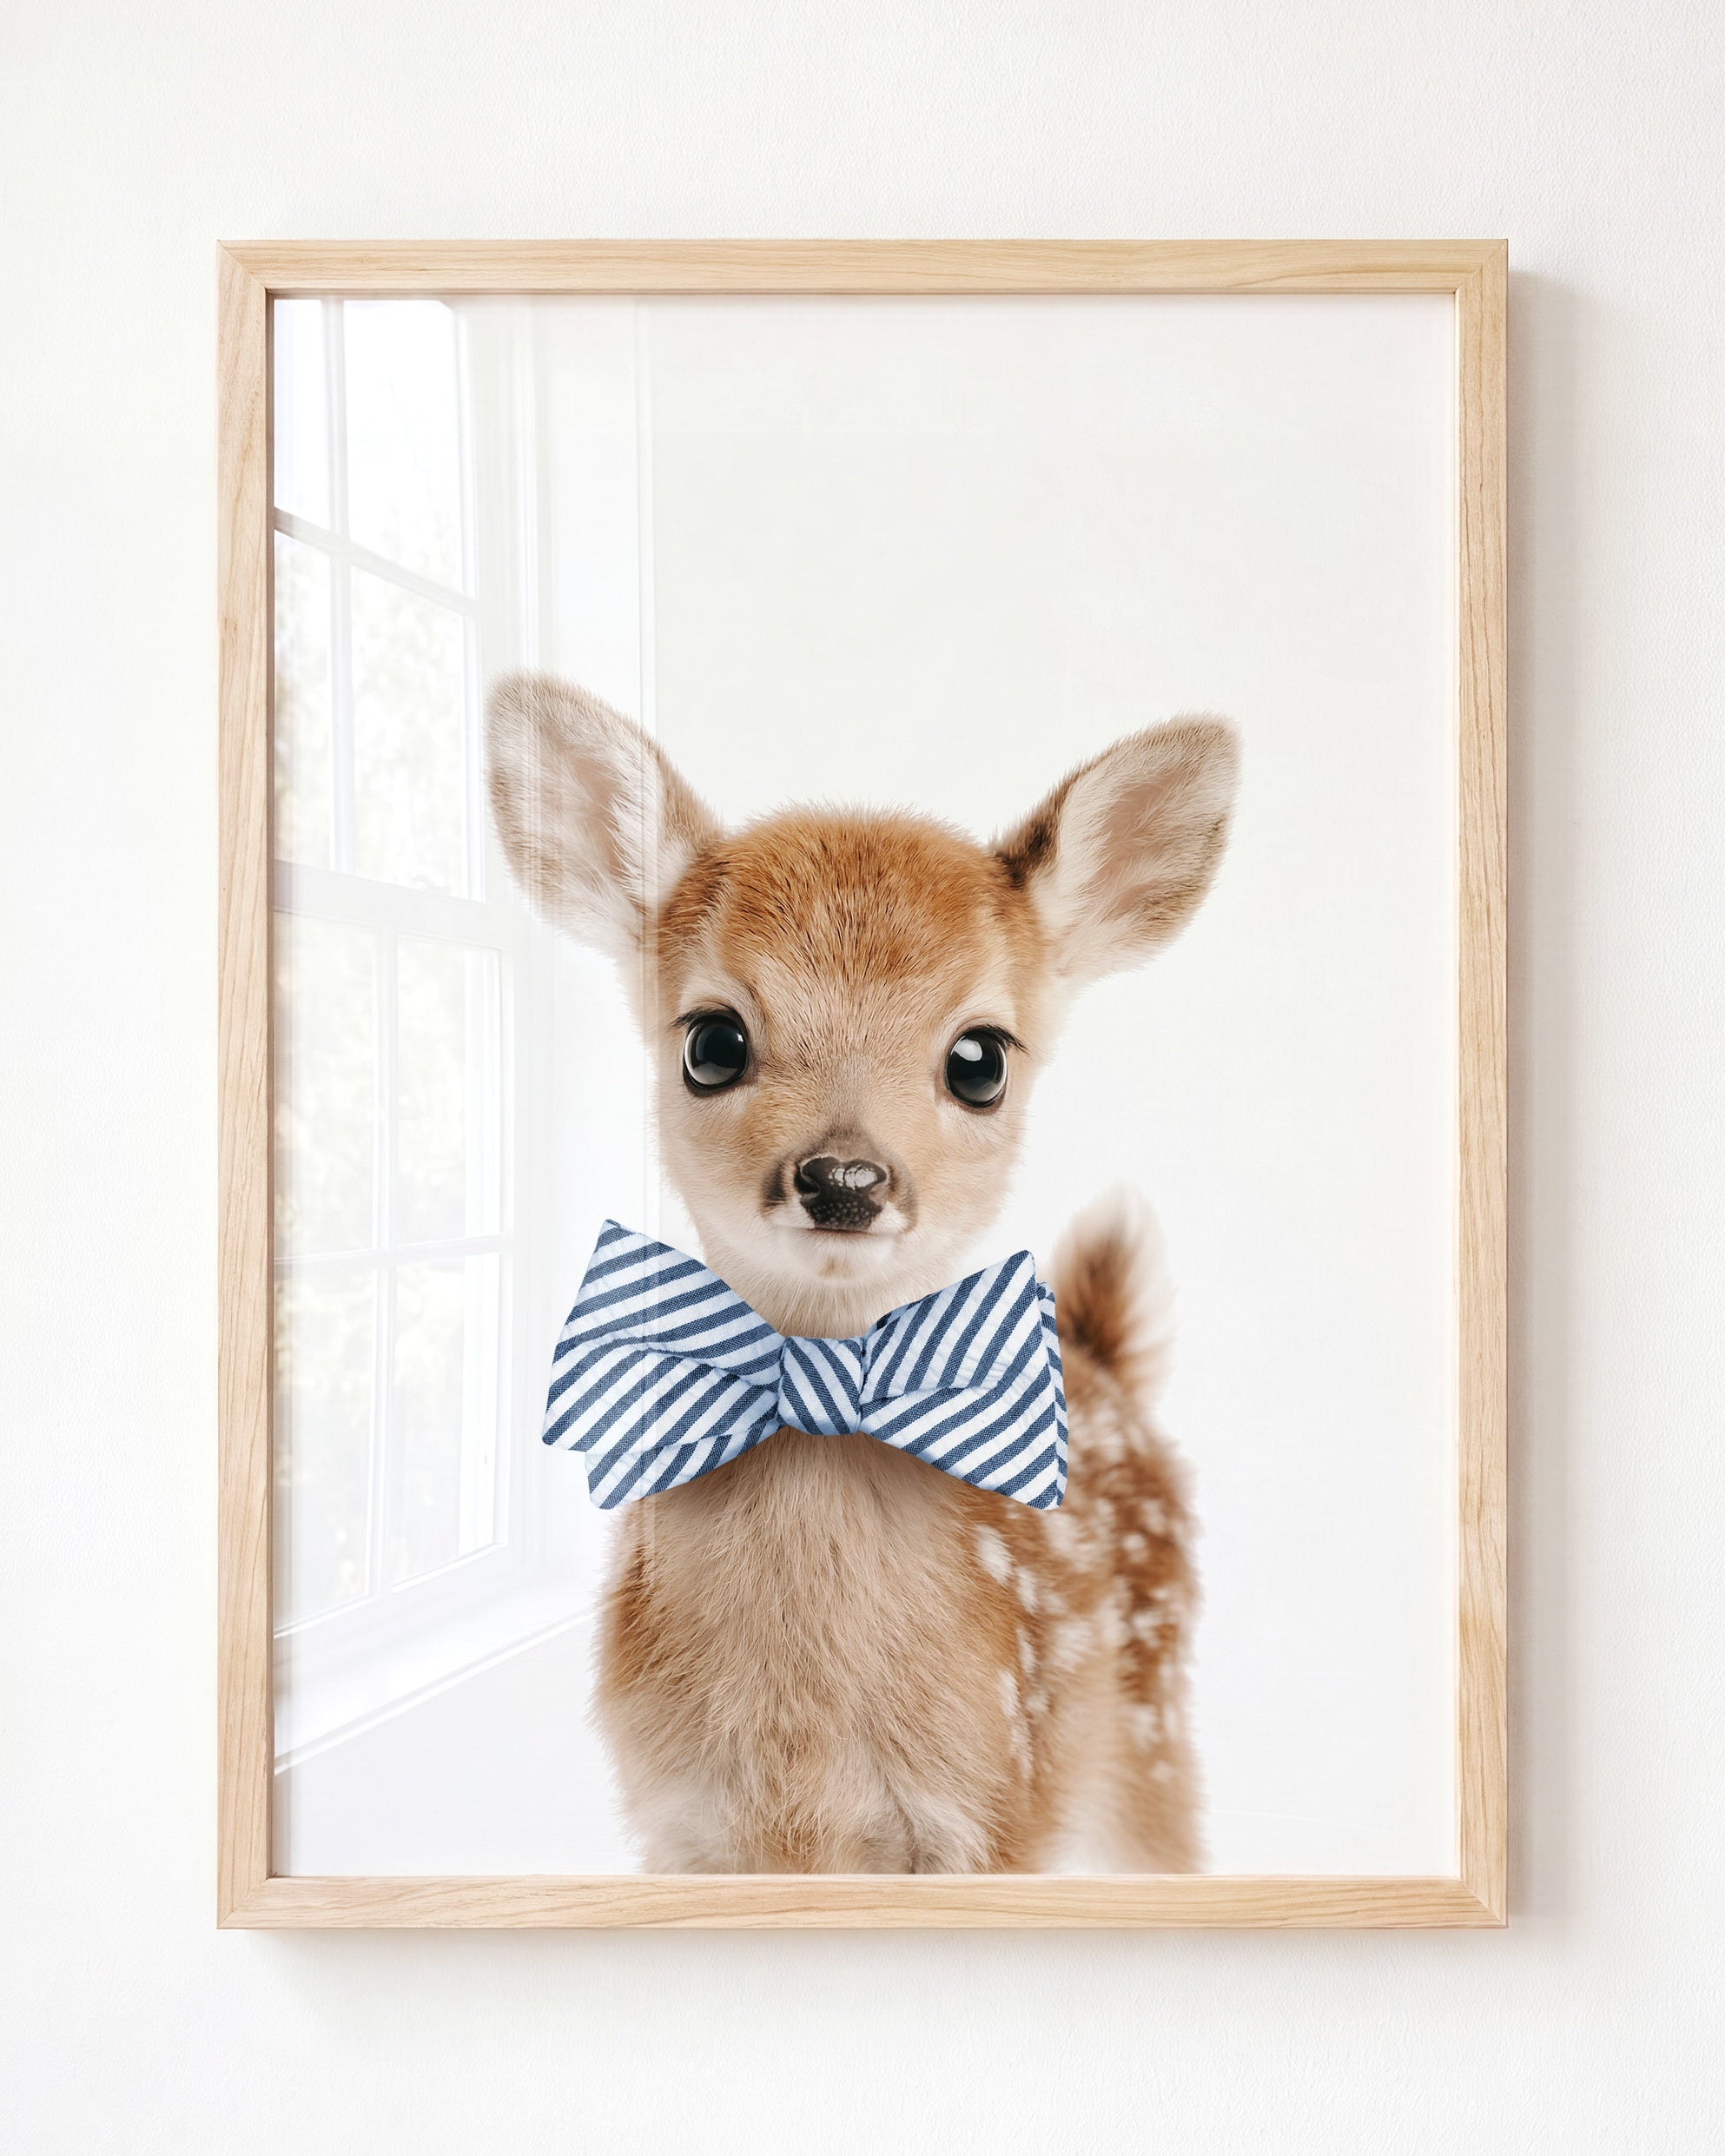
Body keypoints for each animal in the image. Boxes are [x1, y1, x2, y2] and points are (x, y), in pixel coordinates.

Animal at [486, 672, 1238, 1873]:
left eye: (980, 1059)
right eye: (711, 1042)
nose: (844, 1176)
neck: (802, 1761)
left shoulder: (992, 1809)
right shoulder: (679, 1824)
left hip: (1148, 1740)